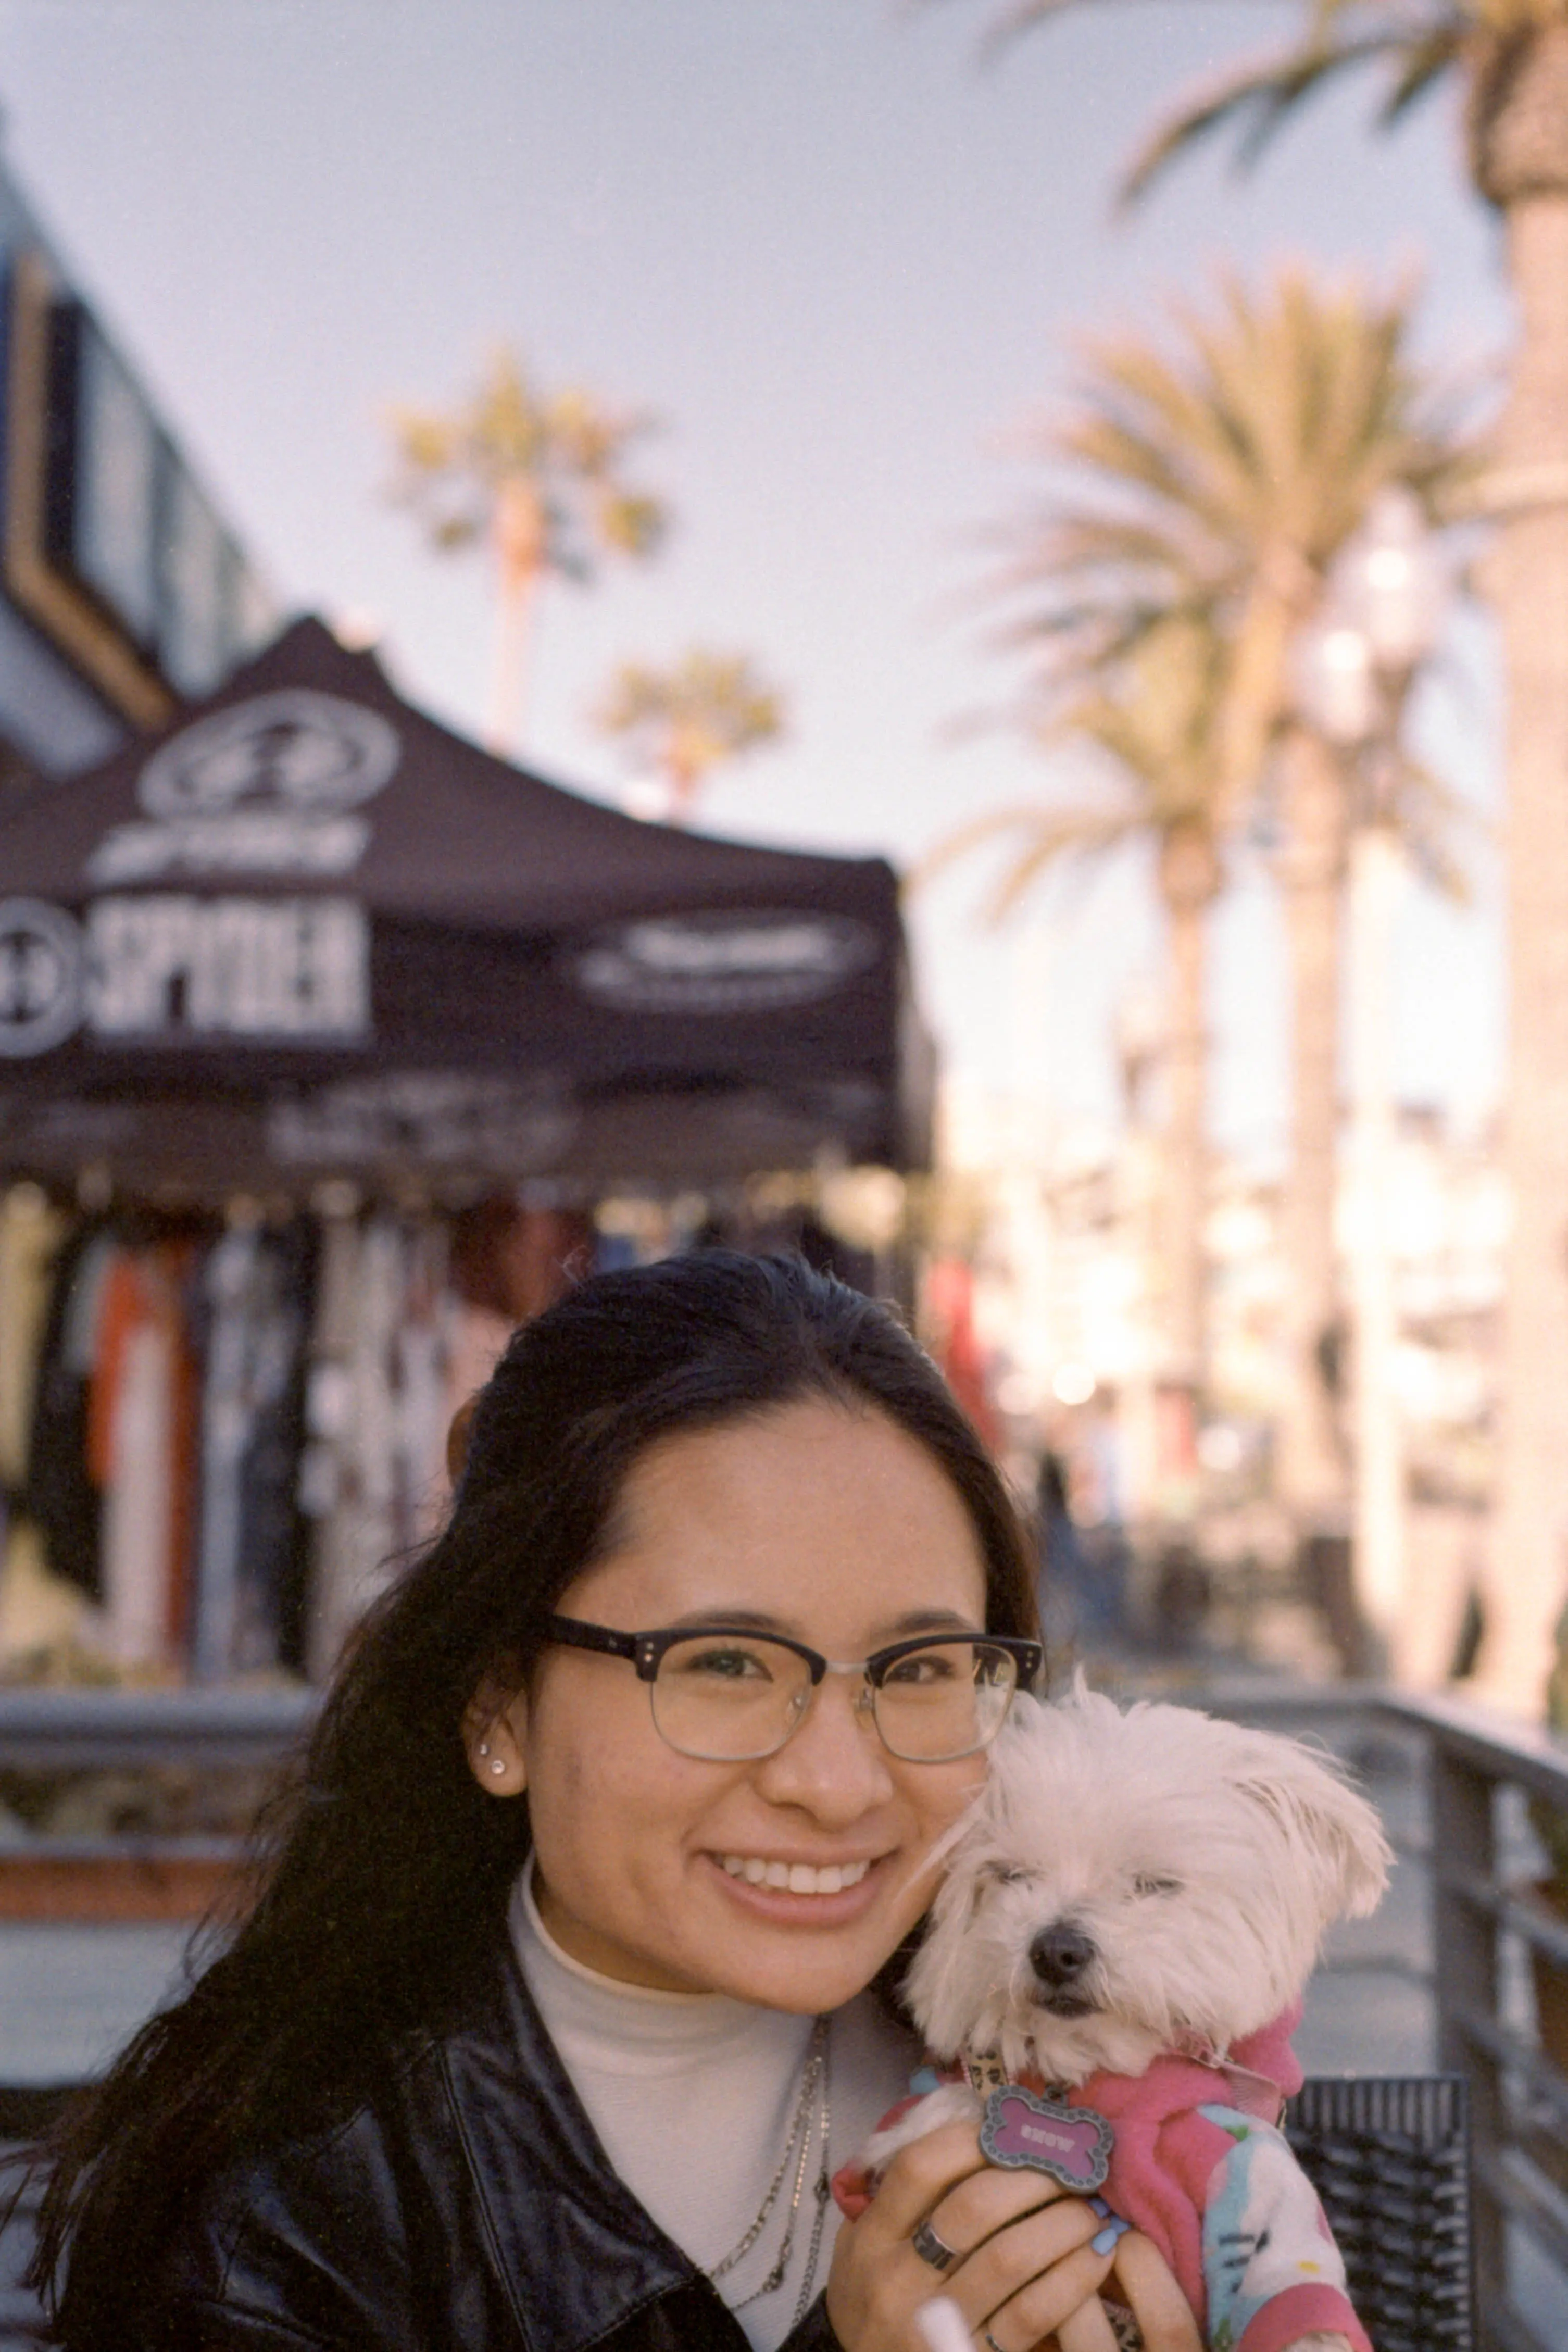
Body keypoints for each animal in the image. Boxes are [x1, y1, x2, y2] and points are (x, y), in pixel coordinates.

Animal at [842, 1693, 1391, 2352]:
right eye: (1008, 1874)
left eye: (1153, 1884)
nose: (1055, 1949)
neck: (1094, 2081)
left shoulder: (1244, 2175)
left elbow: (1287, 2289)